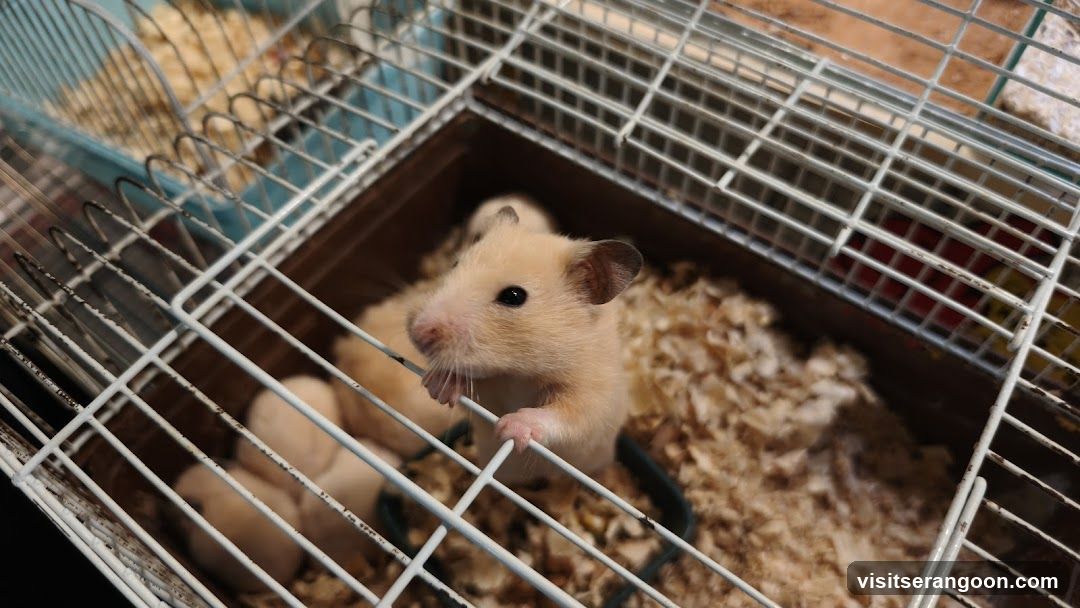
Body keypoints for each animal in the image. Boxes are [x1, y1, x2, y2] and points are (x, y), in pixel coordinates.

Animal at [407, 205, 642, 485]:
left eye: (514, 296)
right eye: (455, 264)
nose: (417, 333)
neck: (517, 373)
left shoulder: (592, 397)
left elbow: (564, 416)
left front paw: (509, 427)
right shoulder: (490, 393)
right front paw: (436, 384)